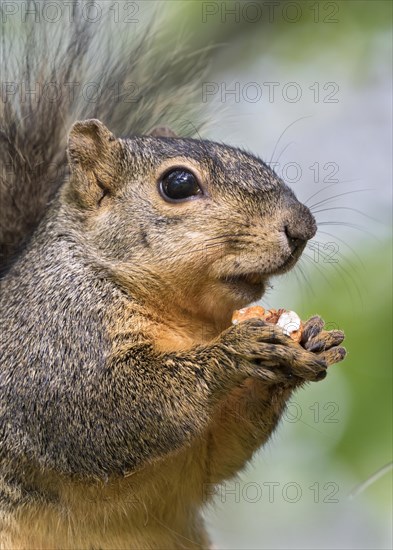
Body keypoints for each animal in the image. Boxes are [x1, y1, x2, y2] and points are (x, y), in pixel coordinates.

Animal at [0, 6, 344, 548]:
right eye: (177, 184)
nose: (302, 227)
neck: (186, 319)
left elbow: (220, 451)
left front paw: (307, 344)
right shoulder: (49, 345)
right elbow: (99, 410)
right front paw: (236, 351)